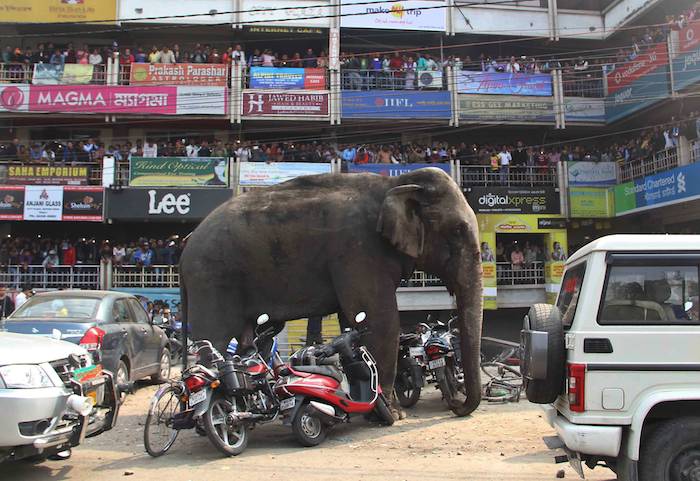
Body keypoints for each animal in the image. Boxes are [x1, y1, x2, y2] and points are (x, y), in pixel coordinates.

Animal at [179, 167, 482, 414]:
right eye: (457, 230)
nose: (456, 403)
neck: (394, 183)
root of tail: (185, 246)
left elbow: (354, 321)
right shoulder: (359, 249)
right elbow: (380, 319)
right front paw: (394, 414)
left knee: (250, 343)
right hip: (212, 279)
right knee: (215, 340)